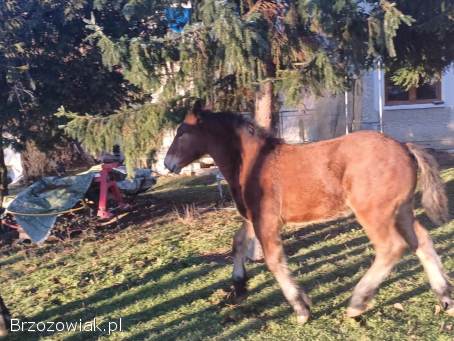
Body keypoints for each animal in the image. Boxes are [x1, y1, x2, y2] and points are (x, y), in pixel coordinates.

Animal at [162, 102, 450, 322]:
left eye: (182, 132)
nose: (167, 163)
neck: (254, 163)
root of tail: (405, 147)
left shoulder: (266, 220)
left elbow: (274, 260)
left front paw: (301, 309)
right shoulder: (252, 218)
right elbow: (238, 243)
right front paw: (239, 286)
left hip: (374, 212)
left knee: (391, 247)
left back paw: (357, 303)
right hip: (401, 210)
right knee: (421, 241)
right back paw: (445, 297)